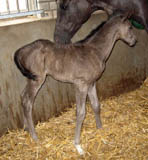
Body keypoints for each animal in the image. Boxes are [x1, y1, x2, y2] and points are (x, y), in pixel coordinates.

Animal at [13, 14, 136, 155]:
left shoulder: (91, 84)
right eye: (130, 27)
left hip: (31, 79)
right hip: (37, 80)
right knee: (28, 102)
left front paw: (100, 129)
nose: (134, 41)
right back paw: (35, 136)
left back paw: (26, 128)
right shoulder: (81, 85)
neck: (95, 51)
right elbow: (81, 112)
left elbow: (96, 105)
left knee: (23, 96)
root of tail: (22, 50)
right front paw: (78, 145)